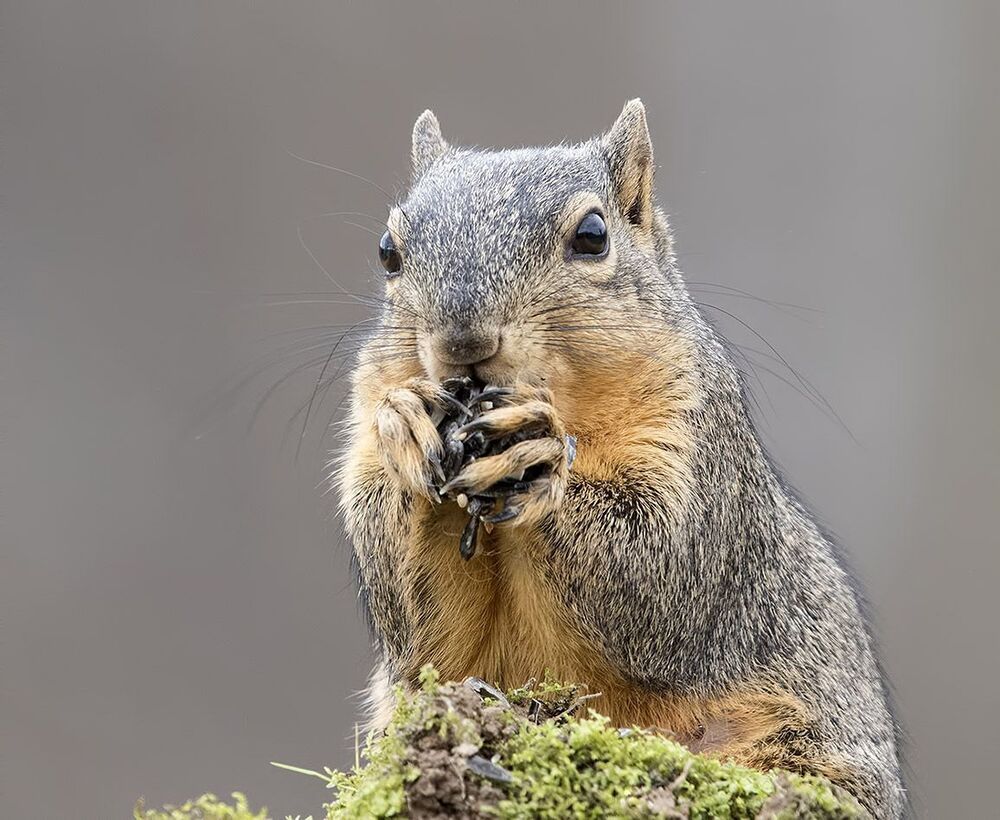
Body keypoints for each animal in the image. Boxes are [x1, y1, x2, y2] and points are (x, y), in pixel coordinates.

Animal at [337, 100, 904, 817]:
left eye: (592, 235)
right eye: (388, 252)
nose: (464, 340)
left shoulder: (698, 447)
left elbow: (659, 568)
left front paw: (544, 458)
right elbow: (419, 630)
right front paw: (405, 423)